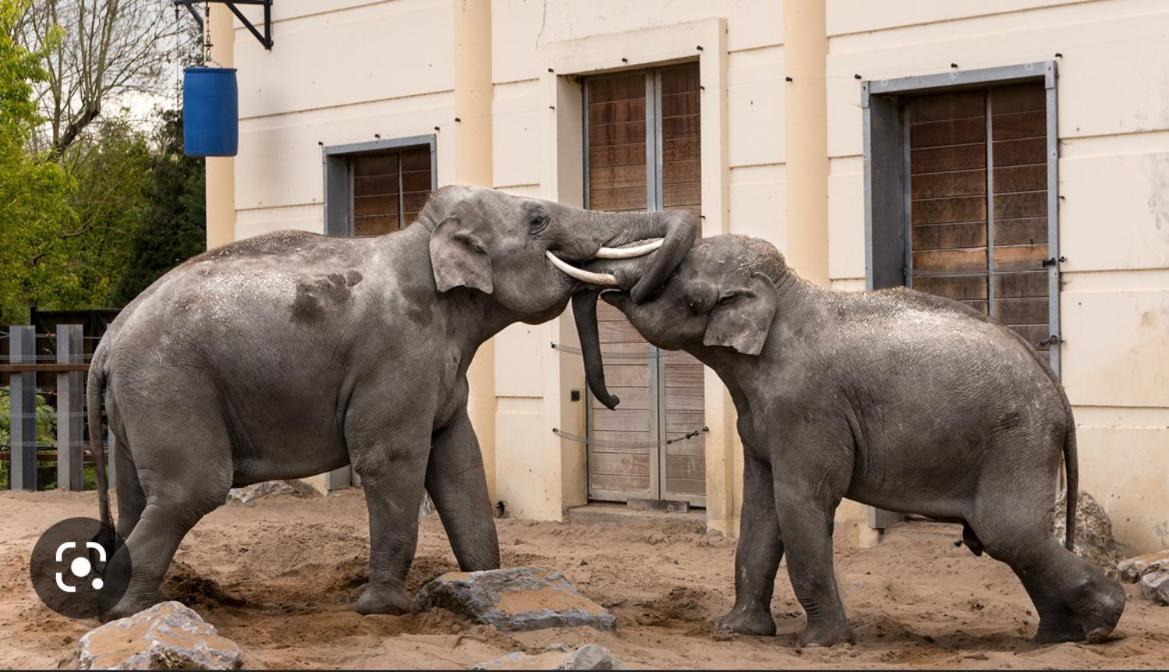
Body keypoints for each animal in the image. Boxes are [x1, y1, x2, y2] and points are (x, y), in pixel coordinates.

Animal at [88, 184, 692, 621]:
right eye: (539, 219)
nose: (613, 398)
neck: (424, 241)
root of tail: (108, 338)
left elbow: (461, 463)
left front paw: (485, 584)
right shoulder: (398, 355)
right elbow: (392, 460)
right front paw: (384, 610)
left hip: (139, 401)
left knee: (139, 493)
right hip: (170, 384)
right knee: (193, 489)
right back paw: (124, 612)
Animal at [570, 234, 1126, 645]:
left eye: (680, 286)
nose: (611, 398)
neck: (787, 295)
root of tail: (1060, 394)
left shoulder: (809, 409)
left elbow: (802, 502)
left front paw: (820, 644)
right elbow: (761, 507)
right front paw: (734, 632)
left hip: (1019, 439)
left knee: (1008, 532)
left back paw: (1102, 625)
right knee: (1014, 540)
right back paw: (1054, 641)